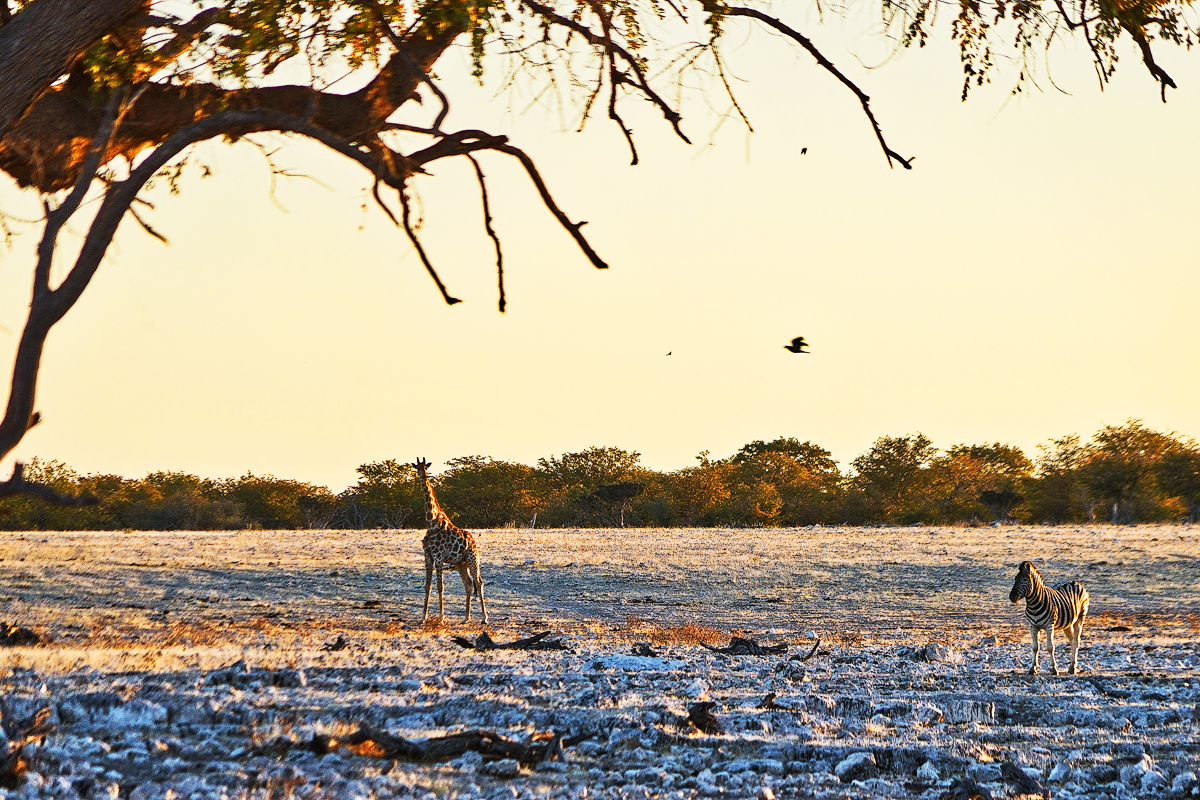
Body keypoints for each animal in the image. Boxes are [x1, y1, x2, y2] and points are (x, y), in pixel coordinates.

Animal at [412, 455, 487, 623]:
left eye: (426, 467)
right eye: (417, 468)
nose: (423, 475)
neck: (431, 521)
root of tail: (474, 542)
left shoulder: (439, 557)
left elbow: (440, 586)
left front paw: (441, 616)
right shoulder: (428, 556)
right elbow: (428, 586)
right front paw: (423, 617)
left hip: (473, 558)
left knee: (479, 582)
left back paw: (485, 618)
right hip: (460, 562)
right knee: (468, 584)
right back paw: (466, 618)